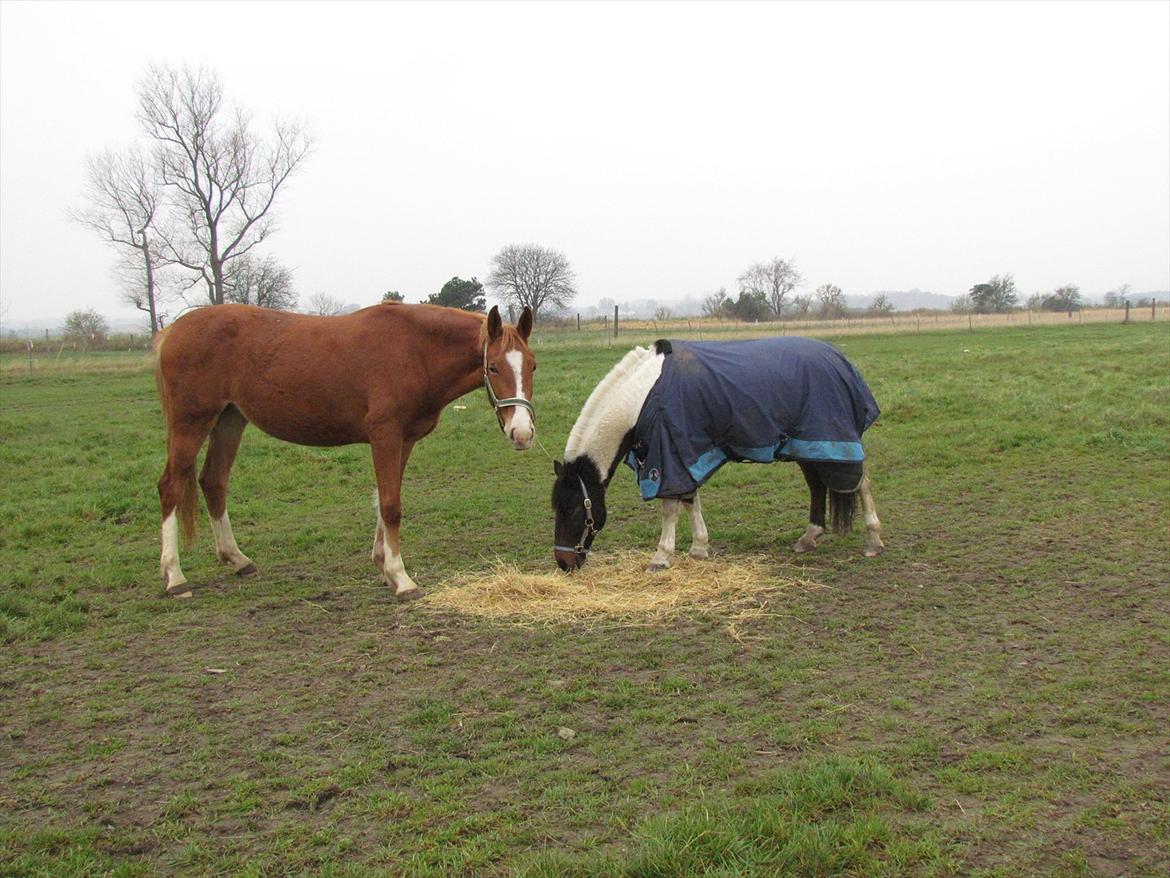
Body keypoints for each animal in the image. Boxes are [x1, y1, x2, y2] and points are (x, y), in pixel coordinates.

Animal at [153, 302, 535, 599]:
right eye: (493, 367)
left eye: (532, 365)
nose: (522, 433)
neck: (413, 351)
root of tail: (171, 331)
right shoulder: (385, 435)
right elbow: (391, 505)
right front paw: (401, 578)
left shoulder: (404, 440)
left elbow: (384, 500)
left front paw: (383, 566)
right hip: (191, 423)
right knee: (171, 486)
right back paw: (175, 577)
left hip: (230, 420)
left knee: (213, 481)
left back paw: (238, 559)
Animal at [552, 334, 879, 571]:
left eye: (572, 508)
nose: (564, 563)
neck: (643, 396)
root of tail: (841, 361)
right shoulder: (683, 455)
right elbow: (689, 501)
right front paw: (698, 548)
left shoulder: (668, 459)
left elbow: (670, 508)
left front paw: (661, 557)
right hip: (808, 446)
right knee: (818, 486)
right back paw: (809, 537)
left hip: (830, 442)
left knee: (861, 483)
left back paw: (873, 540)